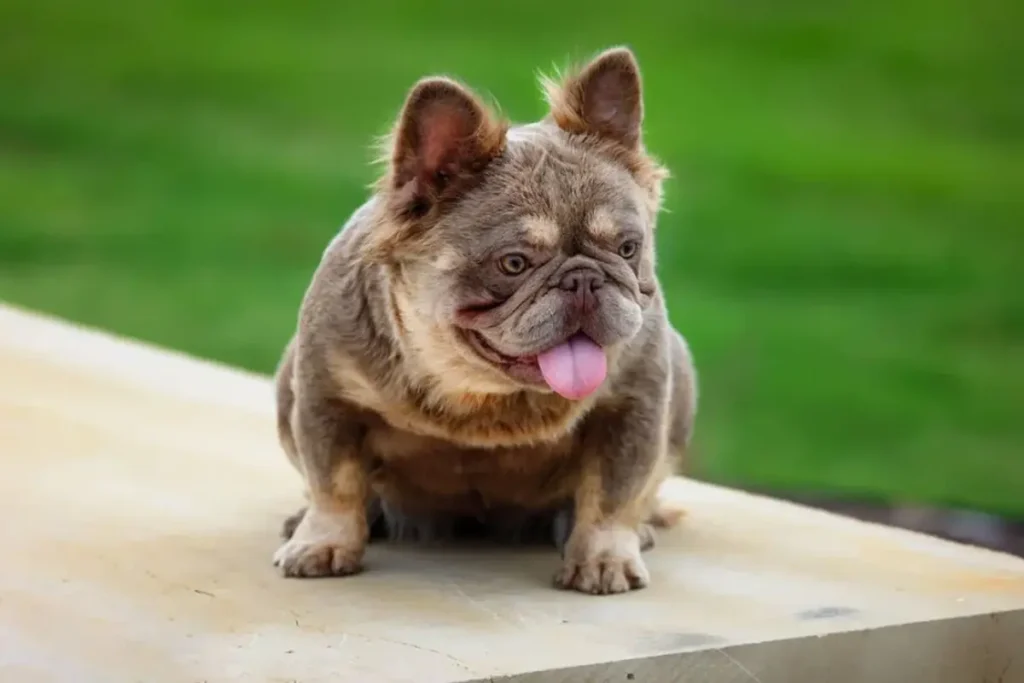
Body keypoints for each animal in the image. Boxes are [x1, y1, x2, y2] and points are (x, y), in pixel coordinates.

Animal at [274, 46, 696, 593]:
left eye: (628, 249)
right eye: (513, 263)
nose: (583, 280)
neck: (482, 393)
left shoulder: (632, 408)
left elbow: (613, 494)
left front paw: (604, 557)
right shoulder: (327, 400)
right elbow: (334, 483)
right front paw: (323, 541)